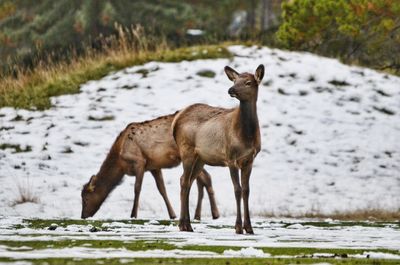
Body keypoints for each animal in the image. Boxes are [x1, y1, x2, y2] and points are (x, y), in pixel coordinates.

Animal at [80, 111, 219, 219]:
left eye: (85, 199)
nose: (83, 216)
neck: (120, 163)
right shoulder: (154, 167)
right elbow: (162, 189)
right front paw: (172, 214)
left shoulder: (139, 161)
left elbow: (137, 188)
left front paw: (133, 215)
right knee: (202, 179)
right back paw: (200, 215)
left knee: (205, 178)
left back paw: (214, 213)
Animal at [171, 64, 262, 233]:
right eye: (235, 80)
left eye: (248, 82)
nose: (231, 89)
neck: (246, 136)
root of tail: (176, 119)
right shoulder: (231, 157)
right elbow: (237, 189)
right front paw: (238, 227)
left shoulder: (249, 160)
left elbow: (246, 190)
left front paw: (249, 228)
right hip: (186, 150)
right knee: (184, 182)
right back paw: (183, 225)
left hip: (200, 158)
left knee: (187, 181)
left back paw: (187, 224)